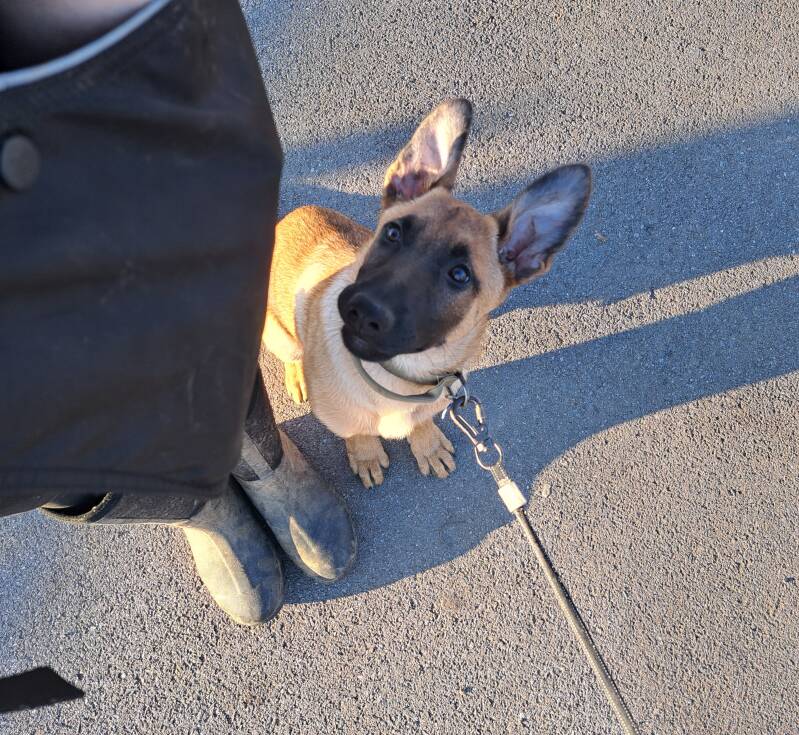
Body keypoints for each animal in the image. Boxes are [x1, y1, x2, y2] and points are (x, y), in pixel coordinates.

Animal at [264, 99, 591, 487]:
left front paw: (427, 445)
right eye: (392, 233)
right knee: (291, 353)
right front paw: (366, 453)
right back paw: (298, 375)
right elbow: (356, 431)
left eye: (460, 275)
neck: (396, 380)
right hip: (278, 336)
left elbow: (421, 421)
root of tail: (288, 218)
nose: (363, 311)